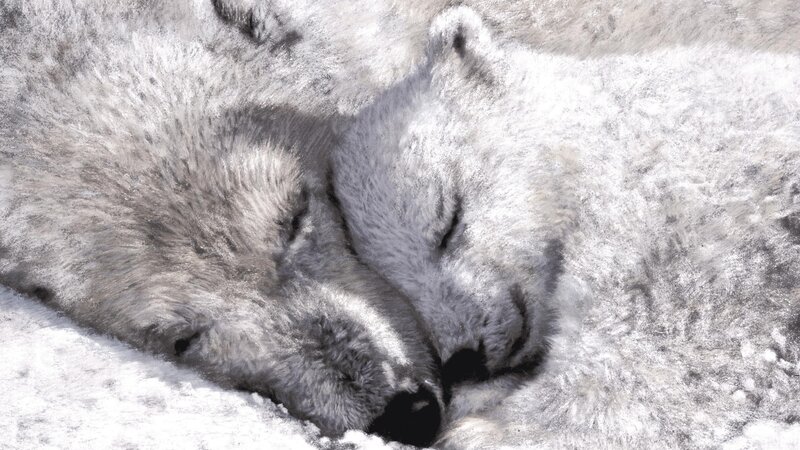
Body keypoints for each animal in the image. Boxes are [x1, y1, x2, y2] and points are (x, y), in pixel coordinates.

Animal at [330, 6, 800, 447]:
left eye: (449, 219)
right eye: (396, 287)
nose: (465, 357)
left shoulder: (683, 211)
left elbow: (660, 335)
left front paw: (489, 429)